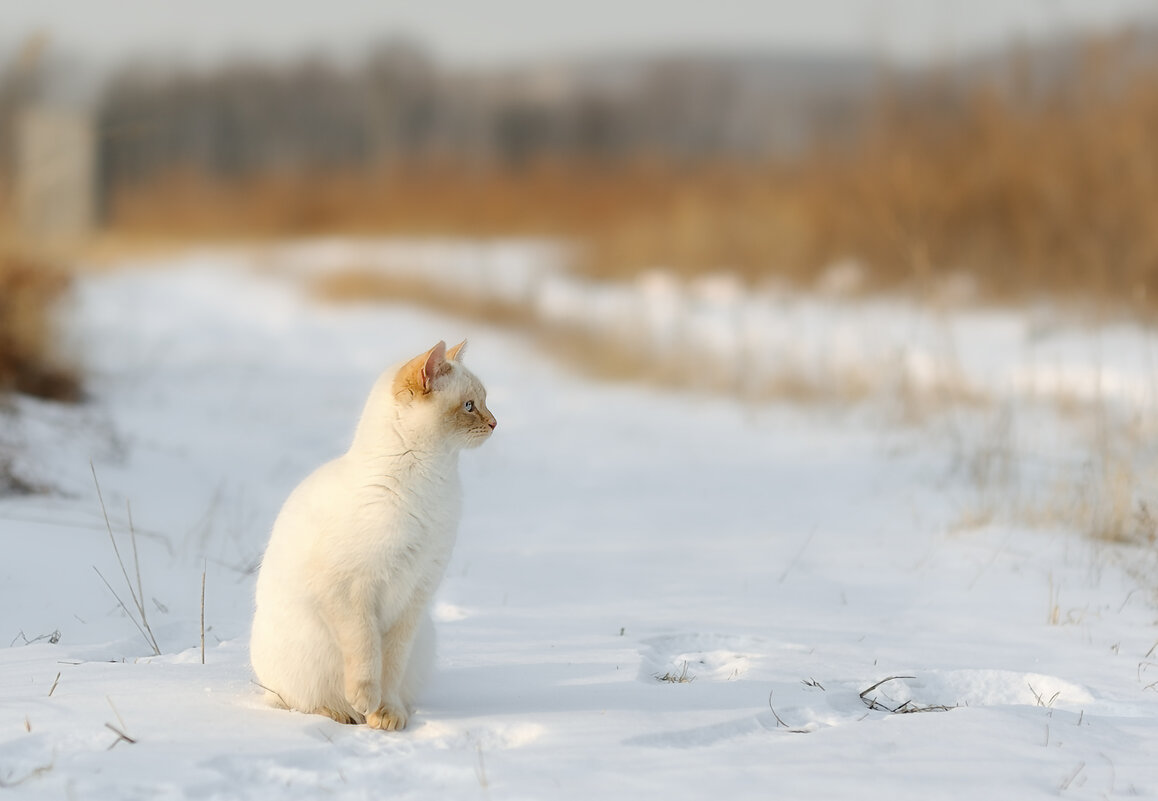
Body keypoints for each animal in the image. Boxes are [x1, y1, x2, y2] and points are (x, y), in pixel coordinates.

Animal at [248, 340, 493, 726]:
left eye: (484, 401)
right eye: (470, 406)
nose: (495, 422)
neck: (431, 480)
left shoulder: (416, 595)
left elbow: (389, 666)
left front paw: (386, 714)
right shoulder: (350, 590)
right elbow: (366, 653)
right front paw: (366, 701)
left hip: (425, 637)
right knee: (300, 702)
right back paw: (340, 712)